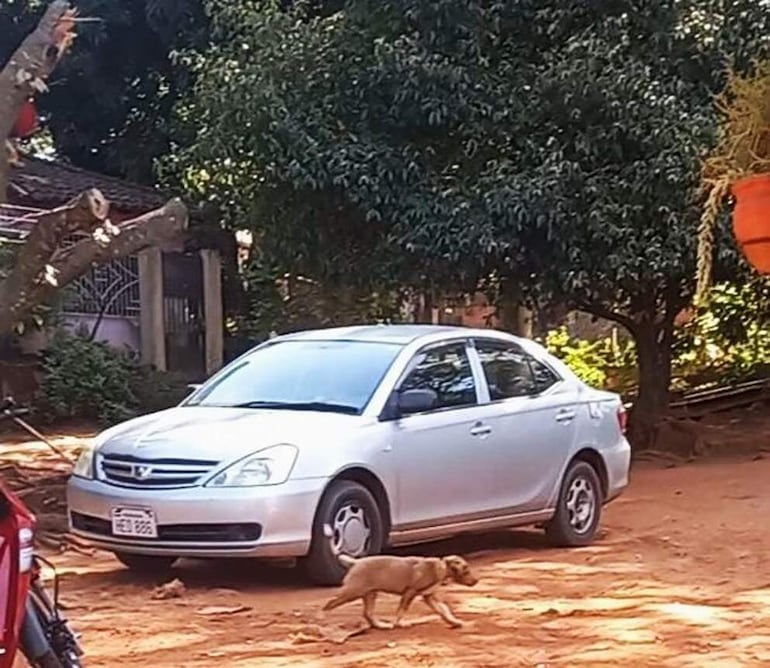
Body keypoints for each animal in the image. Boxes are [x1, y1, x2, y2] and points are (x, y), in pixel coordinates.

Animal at [318, 524, 474, 628]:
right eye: (466, 571)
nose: (476, 581)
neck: (439, 567)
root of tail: (355, 562)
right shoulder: (410, 592)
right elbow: (402, 610)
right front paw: (400, 623)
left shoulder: (429, 596)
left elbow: (444, 610)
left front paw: (454, 622)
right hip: (352, 592)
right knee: (329, 603)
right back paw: (321, 618)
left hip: (370, 593)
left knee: (367, 613)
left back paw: (381, 625)